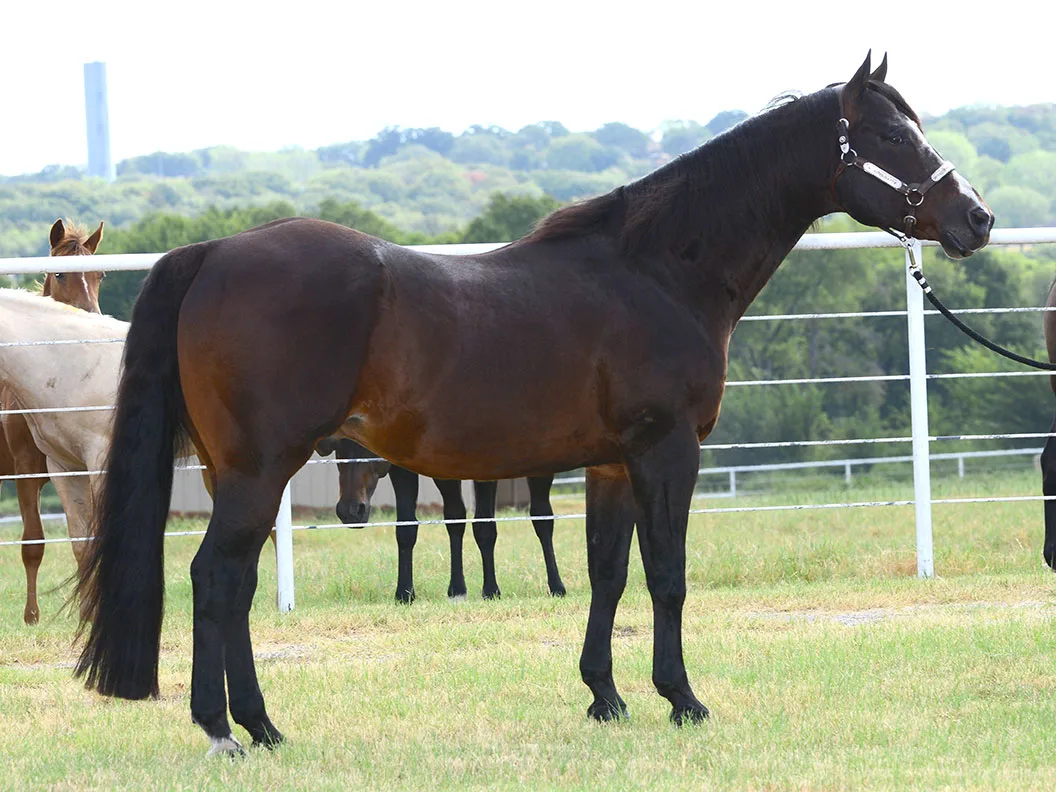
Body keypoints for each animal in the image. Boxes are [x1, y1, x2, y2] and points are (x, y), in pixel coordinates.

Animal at [317, 437, 565, 602]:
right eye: (338, 449)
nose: (350, 511)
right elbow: (408, 529)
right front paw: (405, 593)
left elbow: (484, 528)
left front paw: (491, 590)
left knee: (542, 518)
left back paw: (556, 586)